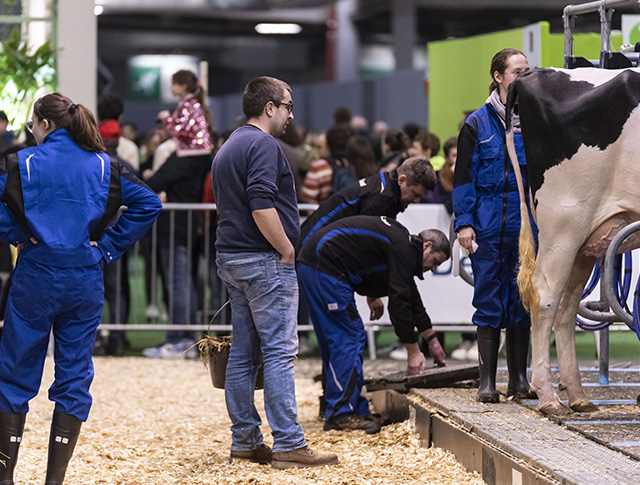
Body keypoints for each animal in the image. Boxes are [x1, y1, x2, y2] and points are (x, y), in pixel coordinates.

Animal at [504, 67, 640, 416]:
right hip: (564, 225)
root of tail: (533, 74)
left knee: (566, 307)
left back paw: (578, 395)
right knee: (544, 296)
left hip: (584, 242)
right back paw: (548, 397)